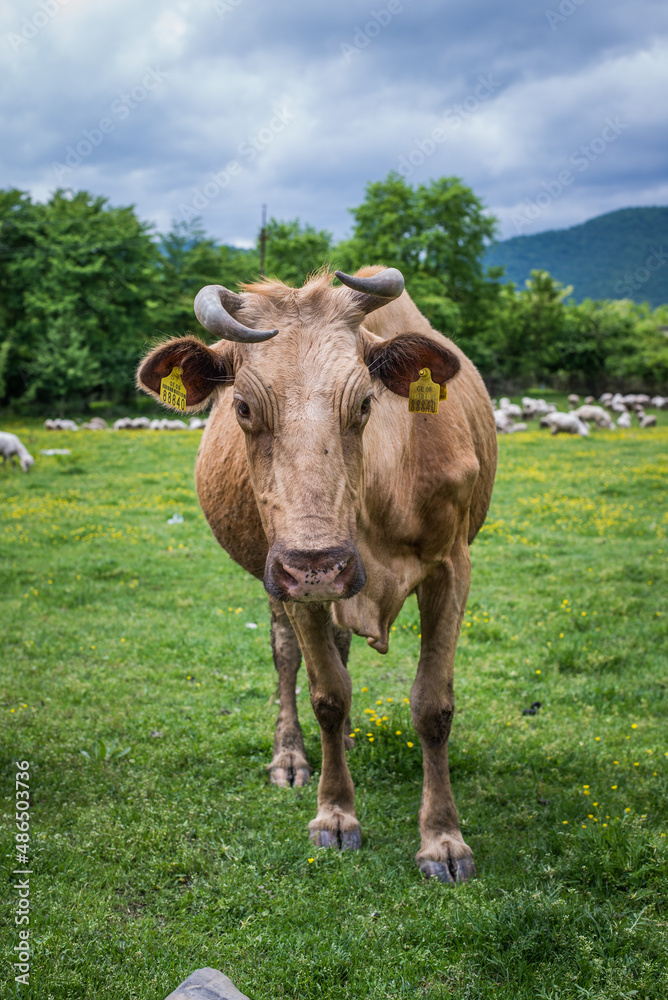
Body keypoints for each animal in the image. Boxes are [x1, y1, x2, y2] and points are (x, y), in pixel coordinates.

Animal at [137, 266, 497, 884]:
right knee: (288, 657)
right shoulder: (289, 578)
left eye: (365, 403)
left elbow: (432, 706)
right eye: (243, 407)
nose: (320, 565)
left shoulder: (451, 568)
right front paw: (335, 814)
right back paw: (290, 757)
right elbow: (326, 693)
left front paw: (443, 841)